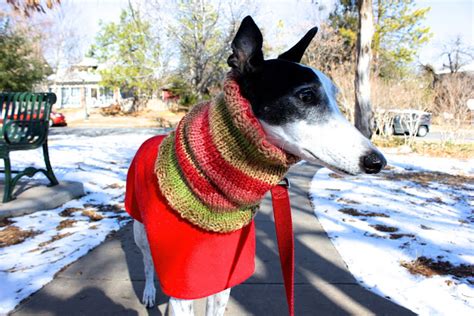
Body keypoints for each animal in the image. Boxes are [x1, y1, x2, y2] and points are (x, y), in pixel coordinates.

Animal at [132, 16, 386, 316]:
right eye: (306, 96)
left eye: (335, 97)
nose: (377, 161)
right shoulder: (182, 289)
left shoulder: (224, 280)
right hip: (140, 230)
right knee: (147, 262)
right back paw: (149, 292)